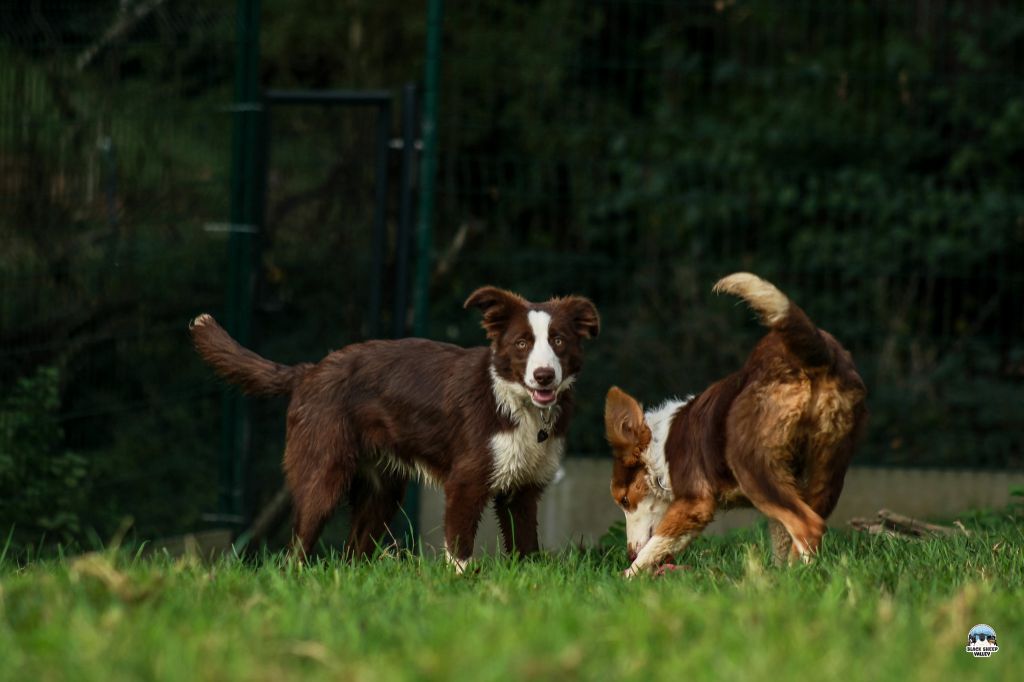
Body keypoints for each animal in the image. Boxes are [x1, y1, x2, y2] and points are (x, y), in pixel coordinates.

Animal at [190, 286, 598, 569]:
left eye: (559, 341)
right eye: (521, 343)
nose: (544, 376)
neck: (516, 402)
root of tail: (308, 372)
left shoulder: (523, 491)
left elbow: (526, 548)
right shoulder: (466, 482)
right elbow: (461, 550)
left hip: (381, 491)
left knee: (352, 553)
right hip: (322, 474)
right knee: (297, 551)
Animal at [602, 270, 868, 573]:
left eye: (625, 500)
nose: (629, 553)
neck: (660, 447)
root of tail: (819, 352)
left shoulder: (695, 503)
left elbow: (654, 547)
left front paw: (626, 575)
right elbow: (781, 540)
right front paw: (775, 577)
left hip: (749, 463)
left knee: (809, 526)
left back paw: (801, 575)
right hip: (827, 468)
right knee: (811, 523)